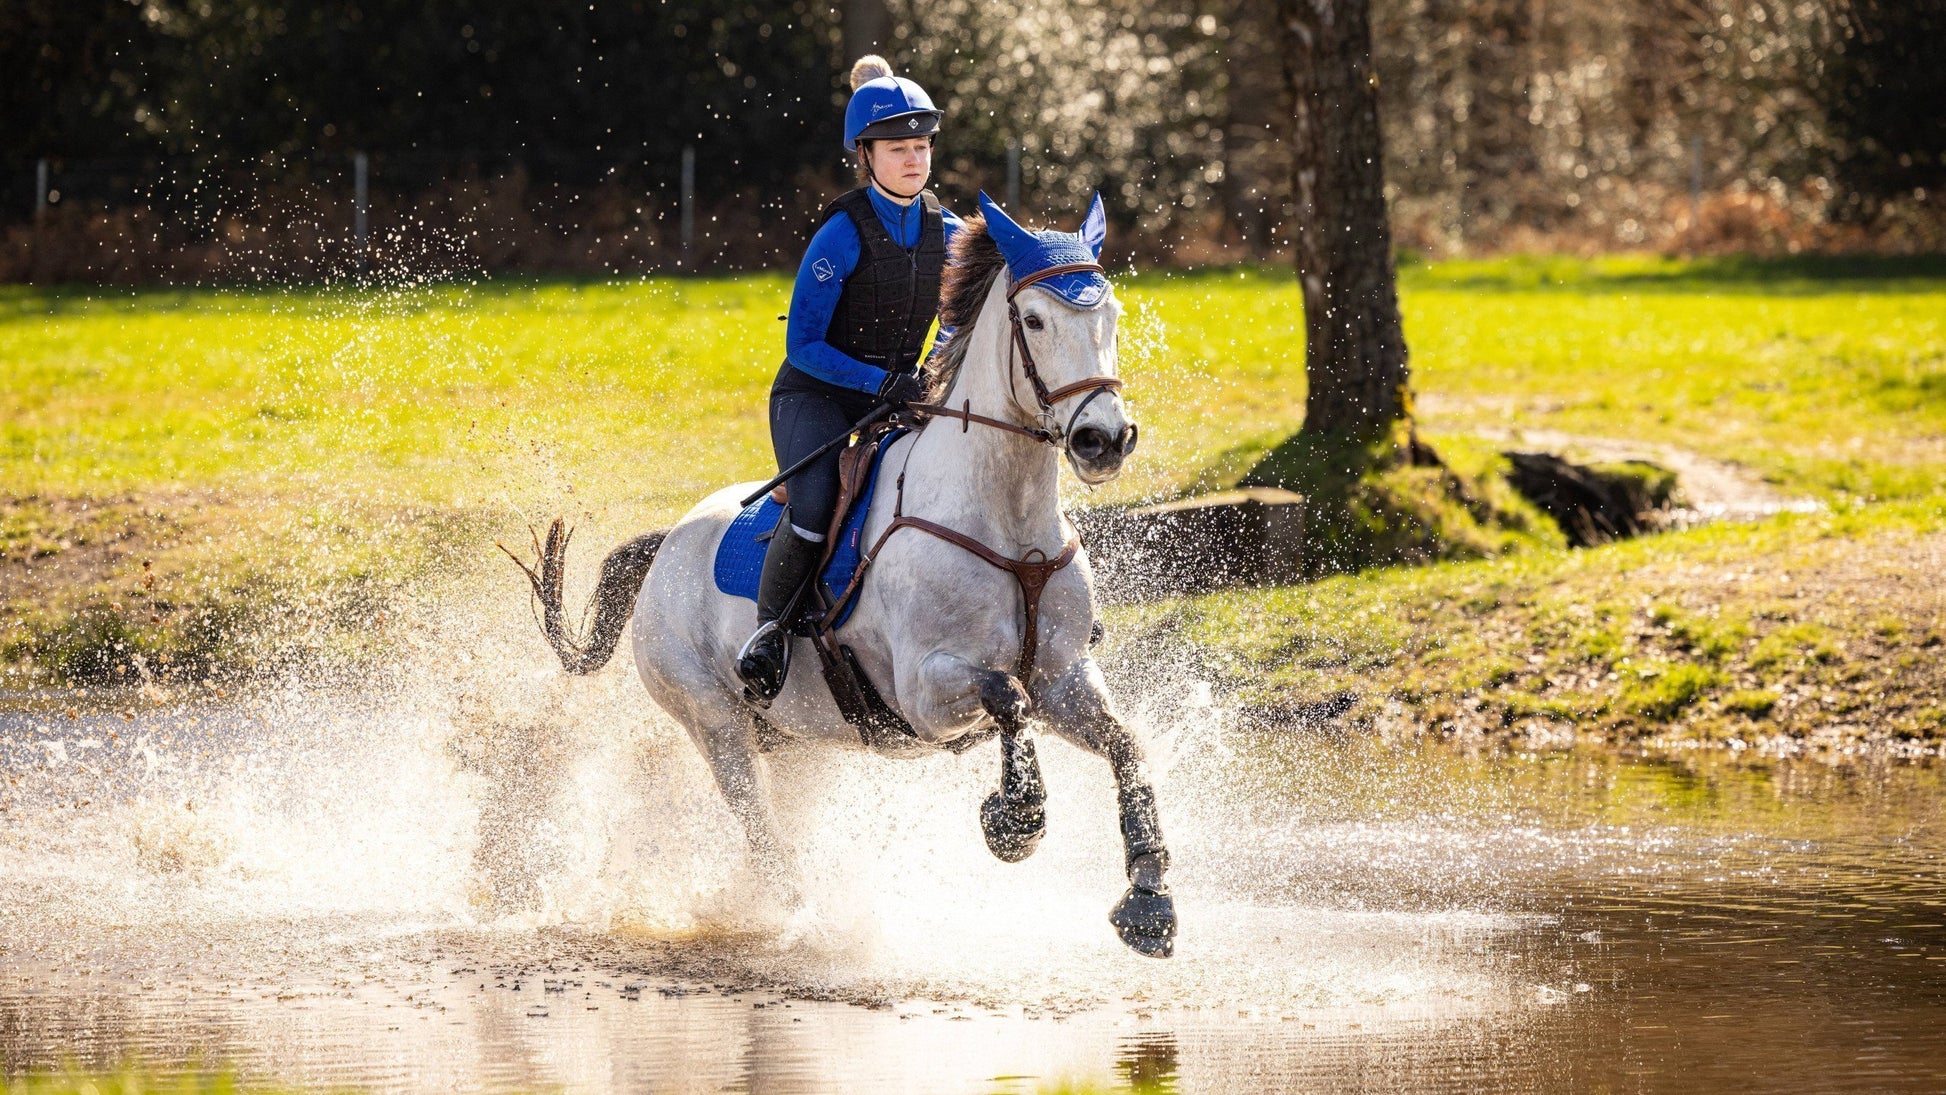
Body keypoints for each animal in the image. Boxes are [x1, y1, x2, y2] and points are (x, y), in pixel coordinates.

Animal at [509, 192, 1176, 958]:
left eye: (1112, 317)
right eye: (1034, 320)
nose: (1105, 440)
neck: (1006, 523)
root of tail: (665, 546)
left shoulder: (1064, 678)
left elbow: (1125, 742)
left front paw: (1150, 899)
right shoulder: (923, 691)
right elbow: (1006, 694)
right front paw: (1015, 818)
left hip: (801, 737)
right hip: (711, 718)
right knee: (758, 824)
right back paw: (802, 917)